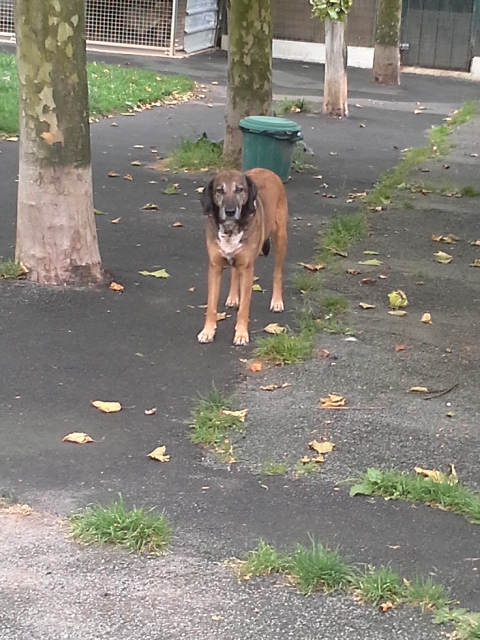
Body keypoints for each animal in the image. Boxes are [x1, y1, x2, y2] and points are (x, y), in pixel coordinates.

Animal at [197, 166, 286, 344]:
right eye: (219, 191)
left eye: (240, 190)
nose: (230, 211)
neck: (230, 229)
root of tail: (266, 170)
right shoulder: (215, 267)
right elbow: (211, 305)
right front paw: (208, 331)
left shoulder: (247, 268)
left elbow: (244, 307)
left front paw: (241, 334)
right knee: (234, 272)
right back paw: (232, 298)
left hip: (280, 238)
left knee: (277, 272)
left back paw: (277, 301)